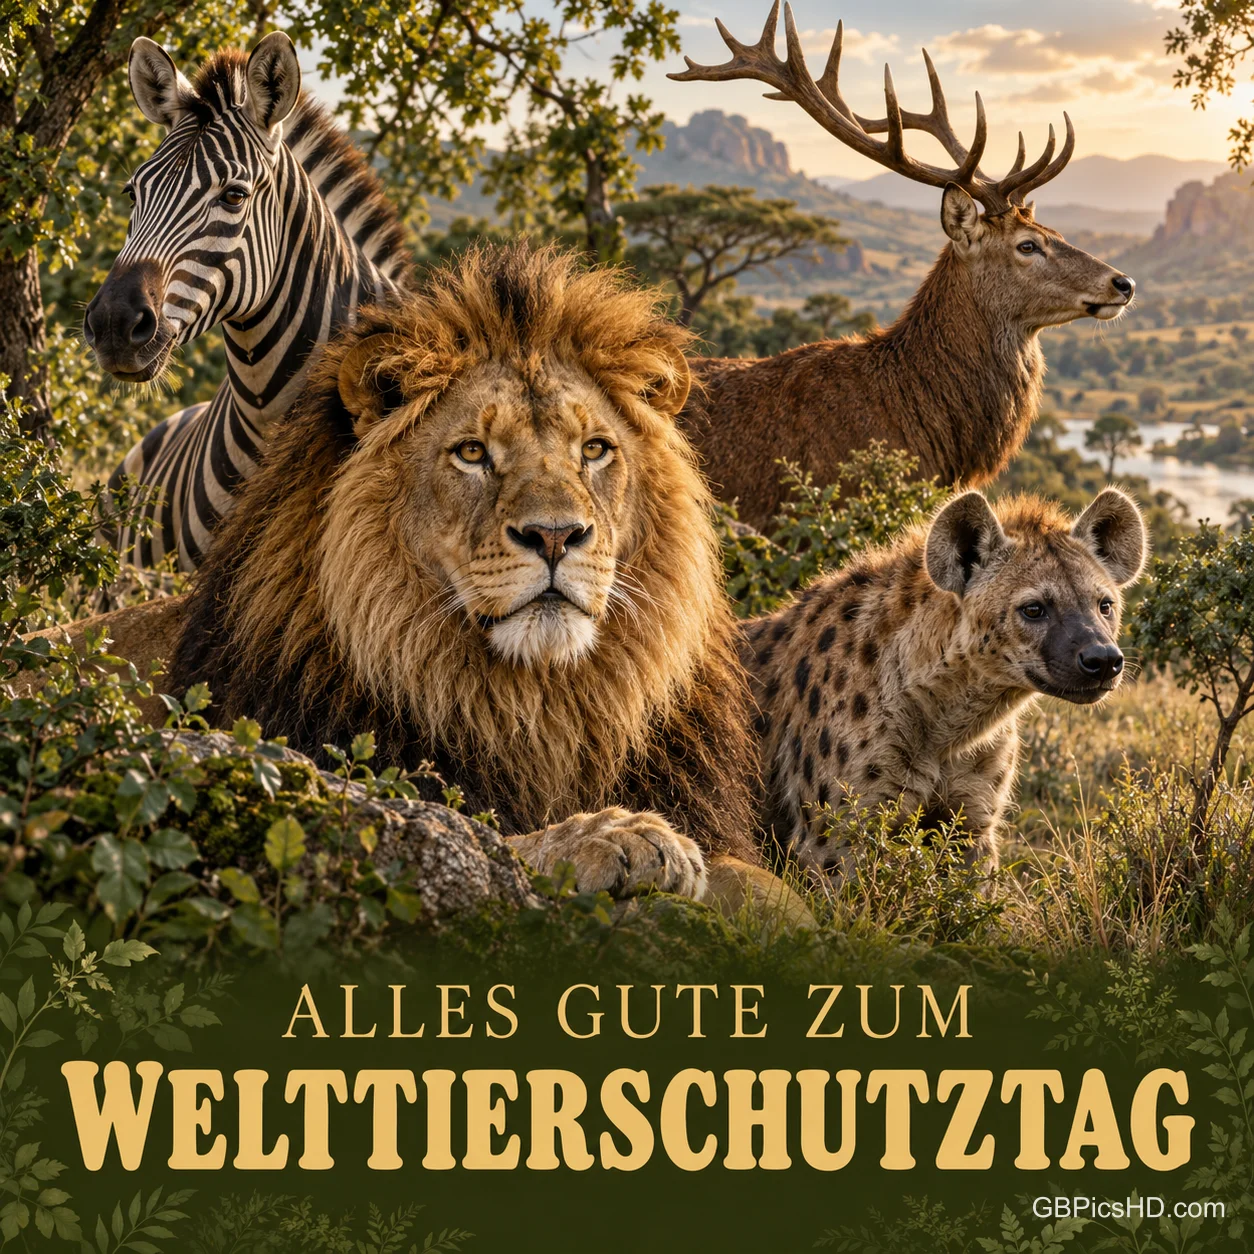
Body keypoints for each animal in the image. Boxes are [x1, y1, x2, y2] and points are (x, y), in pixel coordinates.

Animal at [167, 243, 791, 912]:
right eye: (472, 453)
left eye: (594, 450)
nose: (555, 535)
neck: (540, 705)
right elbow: (489, 838)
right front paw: (614, 835)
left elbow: (773, 890)